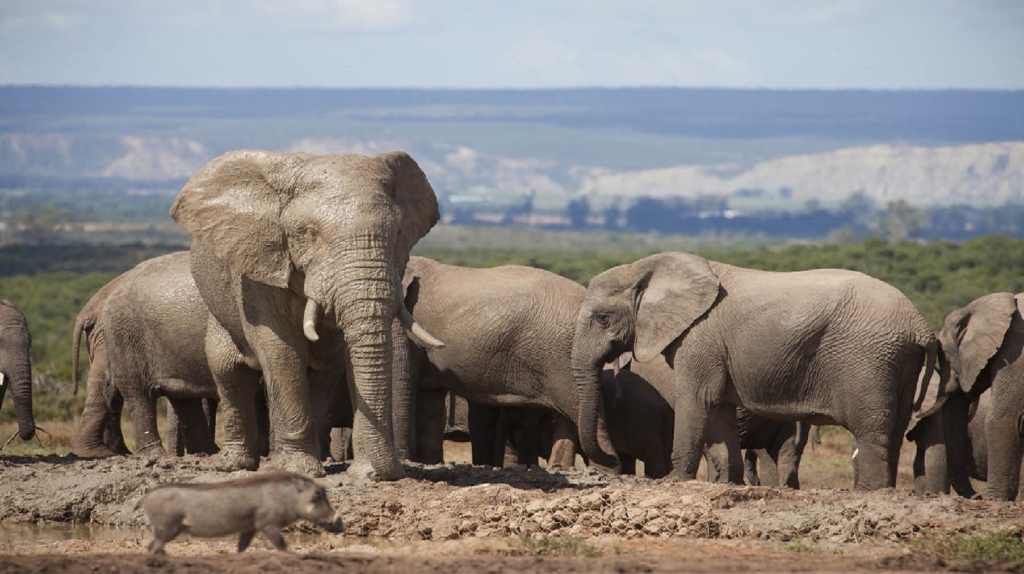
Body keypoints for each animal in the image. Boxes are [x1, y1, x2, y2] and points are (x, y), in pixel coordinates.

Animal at [170, 149, 442, 479]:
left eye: (398, 233)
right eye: (309, 234)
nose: (391, 472)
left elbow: (344, 352)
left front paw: (367, 473)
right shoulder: (260, 269)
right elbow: (281, 351)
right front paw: (300, 470)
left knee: (321, 375)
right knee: (230, 372)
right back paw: (237, 465)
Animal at [393, 256, 618, 471]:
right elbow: (430, 399)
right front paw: (430, 463)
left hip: (564, 359)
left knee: (583, 414)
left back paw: (606, 471)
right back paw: (562, 468)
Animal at [571, 252, 937, 490]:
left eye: (602, 318)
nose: (611, 465)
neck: (647, 268)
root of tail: (921, 326)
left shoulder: (699, 337)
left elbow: (697, 399)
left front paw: (675, 482)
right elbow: (718, 409)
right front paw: (727, 484)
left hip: (869, 359)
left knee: (870, 427)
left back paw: (870, 493)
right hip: (899, 362)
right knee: (894, 427)